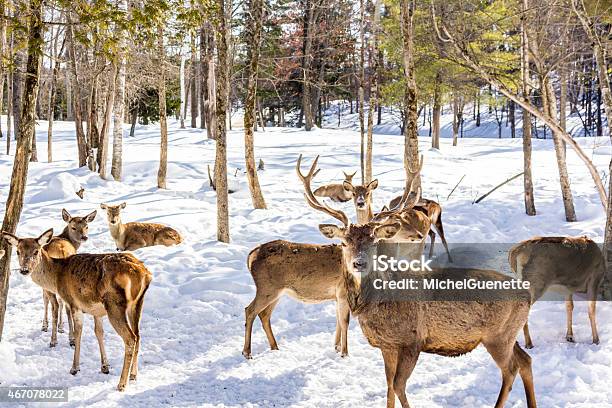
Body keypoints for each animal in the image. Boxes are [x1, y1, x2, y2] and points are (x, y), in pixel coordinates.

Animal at [1, 230, 152, 392]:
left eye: (36, 251)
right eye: (18, 251)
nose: (24, 270)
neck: (57, 277)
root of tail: (144, 274)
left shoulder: (74, 302)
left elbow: (78, 332)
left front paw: (74, 367)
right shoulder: (96, 310)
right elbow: (99, 332)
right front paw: (105, 366)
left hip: (114, 305)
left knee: (130, 338)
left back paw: (122, 384)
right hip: (137, 304)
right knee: (138, 335)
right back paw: (133, 375)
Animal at [41, 209, 97, 346]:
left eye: (86, 226)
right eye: (73, 227)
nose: (84, 237)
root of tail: (62, 252)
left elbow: (45, 300)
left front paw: (45, 326)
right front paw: (61, 327)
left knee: (55, 305)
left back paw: (54, 340)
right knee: (67, 306)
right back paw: (71, 338)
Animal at [296, 156, 536, 408]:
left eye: (374, 241)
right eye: (344, 242)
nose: (359, 263)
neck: (376, 304)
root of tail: (527, 294)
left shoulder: (412, 341)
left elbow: (398, 386)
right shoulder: (387, 345)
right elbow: (389, 387)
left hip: (498, 336)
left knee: (510, 369)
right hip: (509, 334)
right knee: (526, 361)